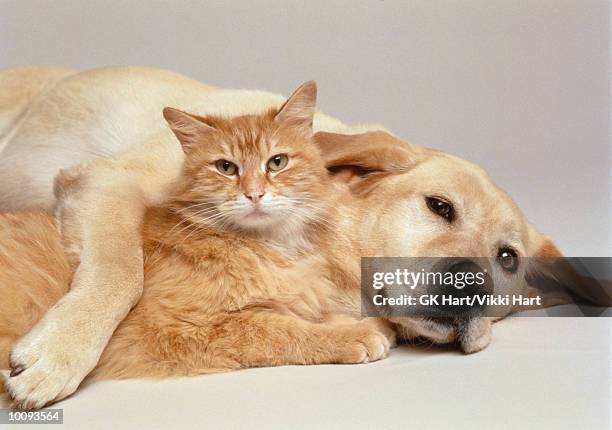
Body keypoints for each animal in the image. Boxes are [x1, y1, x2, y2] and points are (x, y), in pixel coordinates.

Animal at [0, 81, 392, 394]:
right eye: (226, 167)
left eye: (277, 162)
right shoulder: (102, 182)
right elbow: (122, 275)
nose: (254, 194)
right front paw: (58, 355)